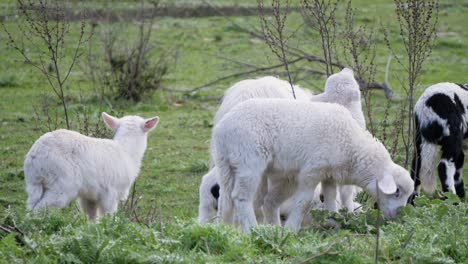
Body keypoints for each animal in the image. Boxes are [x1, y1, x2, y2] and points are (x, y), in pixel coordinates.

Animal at [23, 112, 159, 220]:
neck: (127, 152)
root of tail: (35, 158)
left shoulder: (89, 196)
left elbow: (92, 217)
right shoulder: (110, 192)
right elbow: (109, 215)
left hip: (35, 185)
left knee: (31, 207)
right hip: (62, 184)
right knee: (40, 208)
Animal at [212, 99, 414, 233]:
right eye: (397, 192)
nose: (398, 216)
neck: (352, 146)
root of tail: (221, 129)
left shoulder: (329, 175)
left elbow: (331, 199)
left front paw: (334, 222)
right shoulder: (312, 171)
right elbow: (304, 202)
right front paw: (292, 229)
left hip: (226, 164)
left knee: (228, 199)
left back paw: (228, 228)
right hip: (249, 161)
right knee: (241, 197)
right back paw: (253, 230)